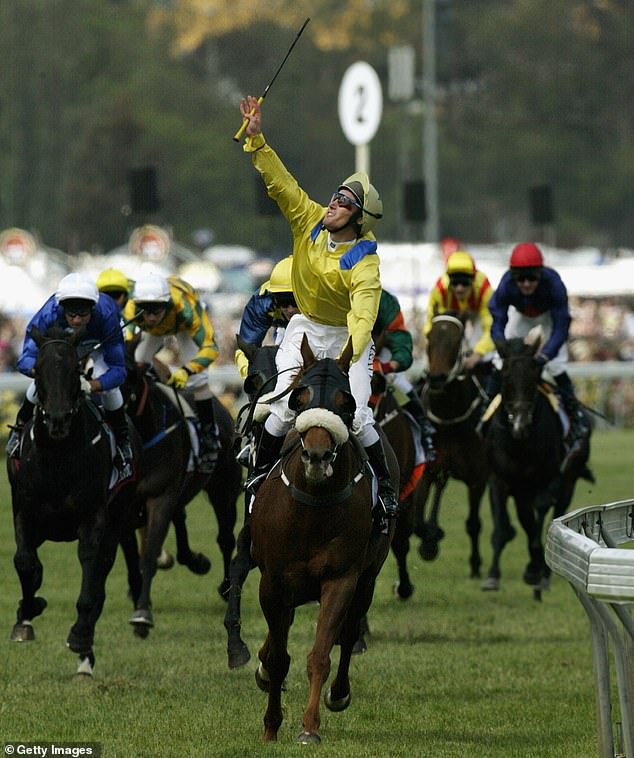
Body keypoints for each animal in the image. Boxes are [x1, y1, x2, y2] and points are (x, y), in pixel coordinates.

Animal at [6, 326, 138, 676]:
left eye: (75, 371)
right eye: (37, 371)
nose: (57, 421)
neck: (58, 456)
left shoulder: (94, 519)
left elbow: (90, 577)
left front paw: (79, 637)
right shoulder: (25, 511)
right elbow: (25, 563)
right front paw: (27, 615)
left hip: (118, 518)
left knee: (100, 580)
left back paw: (85, 656)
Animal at [119, 354, 241, 636]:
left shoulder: (160, 497)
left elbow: (149, 550)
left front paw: (142, 612)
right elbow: (133, 554)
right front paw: (137, 595)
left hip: (223, 490)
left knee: (225, 538)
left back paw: (225, 585)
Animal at [249, 336, 392, 744]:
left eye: (347, 402)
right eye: (299, 397)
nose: (316, 455)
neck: (311, 508)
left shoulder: (341, 580)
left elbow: (321, 653)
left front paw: (309, 726)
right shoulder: (273, 581)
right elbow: (278, 658)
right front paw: (270, 725)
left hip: (367, 580)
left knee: (349, 631)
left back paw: (339, 693)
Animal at [418, 312, 486, 580]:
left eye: (457, 341)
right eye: (428, 336)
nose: (436, 378)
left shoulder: (478, 478)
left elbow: (474, 523)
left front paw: (476, 564)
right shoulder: (428, 468)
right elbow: (418, 517)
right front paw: (429, 542)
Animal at [482, 330, 596, 604]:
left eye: (534, 377)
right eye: (505, 376)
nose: (520, 424)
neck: (520, 445)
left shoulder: (550, 480)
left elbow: (542, 522)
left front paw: (537, 573)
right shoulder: (499, 480)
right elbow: (502, 528)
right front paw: (493, 576)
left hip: (568, 483)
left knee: (553, 515)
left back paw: (541, 574)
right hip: (522, 490)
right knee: (526, 520)